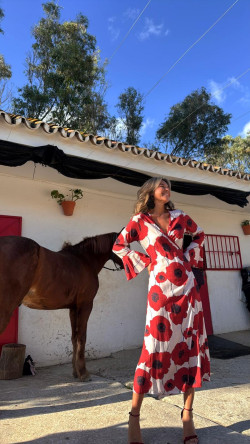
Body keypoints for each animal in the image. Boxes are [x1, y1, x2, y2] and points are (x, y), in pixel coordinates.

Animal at [0, 232, 122, 382]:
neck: (84, 261)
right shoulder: (86, 306)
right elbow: (82, 337)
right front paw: (84, 374)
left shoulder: (73, 309)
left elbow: (74, 338)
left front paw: (76, 372)